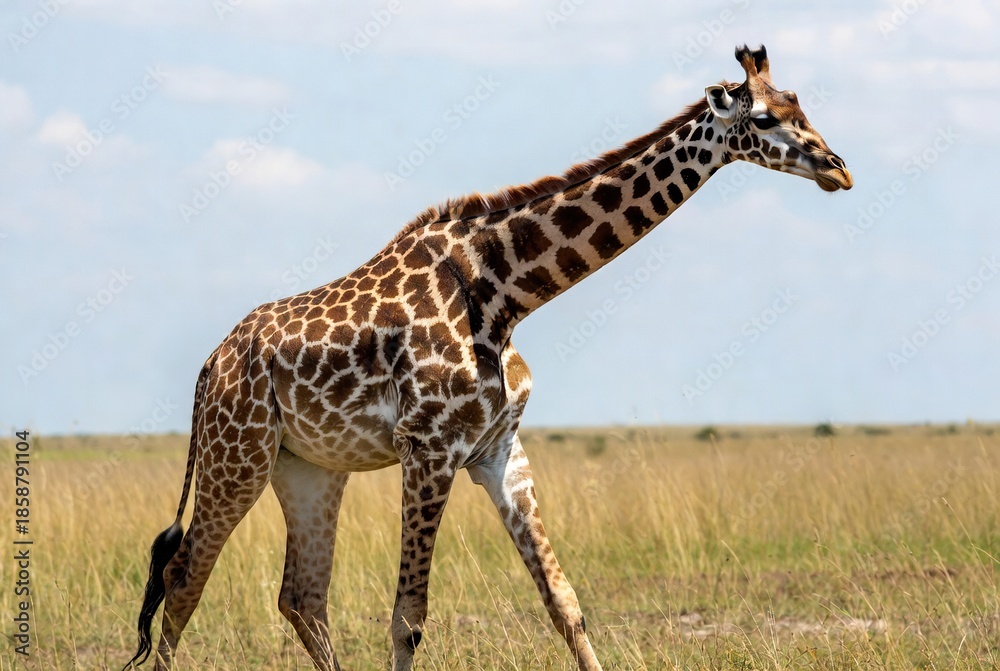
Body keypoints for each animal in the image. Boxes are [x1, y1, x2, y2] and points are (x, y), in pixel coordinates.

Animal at [125, 45, 852, 671]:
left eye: (799, 103)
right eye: (765, 118)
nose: (837, 167)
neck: (502, 288)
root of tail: (211, 364)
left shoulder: (499, 447)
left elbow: (564, 600)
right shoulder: (428, 446)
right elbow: (408, 616)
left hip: (307, 467)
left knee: (301, 596)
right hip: (237, 455)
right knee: (185, 575)